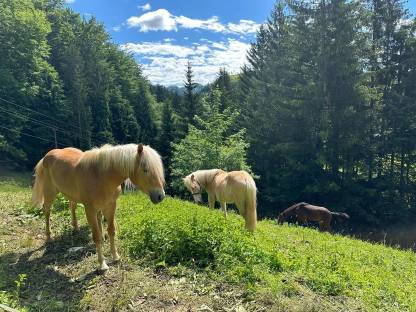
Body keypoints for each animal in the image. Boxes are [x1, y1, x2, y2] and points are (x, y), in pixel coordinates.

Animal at [31, 143, 165, 270]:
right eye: (145, 170)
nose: (160, 196)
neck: (101, 176)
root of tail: (46, 156)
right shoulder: (89, 209)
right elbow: (96, 237)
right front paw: (102, 264)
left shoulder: (111, 206)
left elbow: (111, 231)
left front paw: (115, 256)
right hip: (50, 192)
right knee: (47, 210)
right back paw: (49, 237)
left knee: (72, 206)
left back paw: (75, 228)